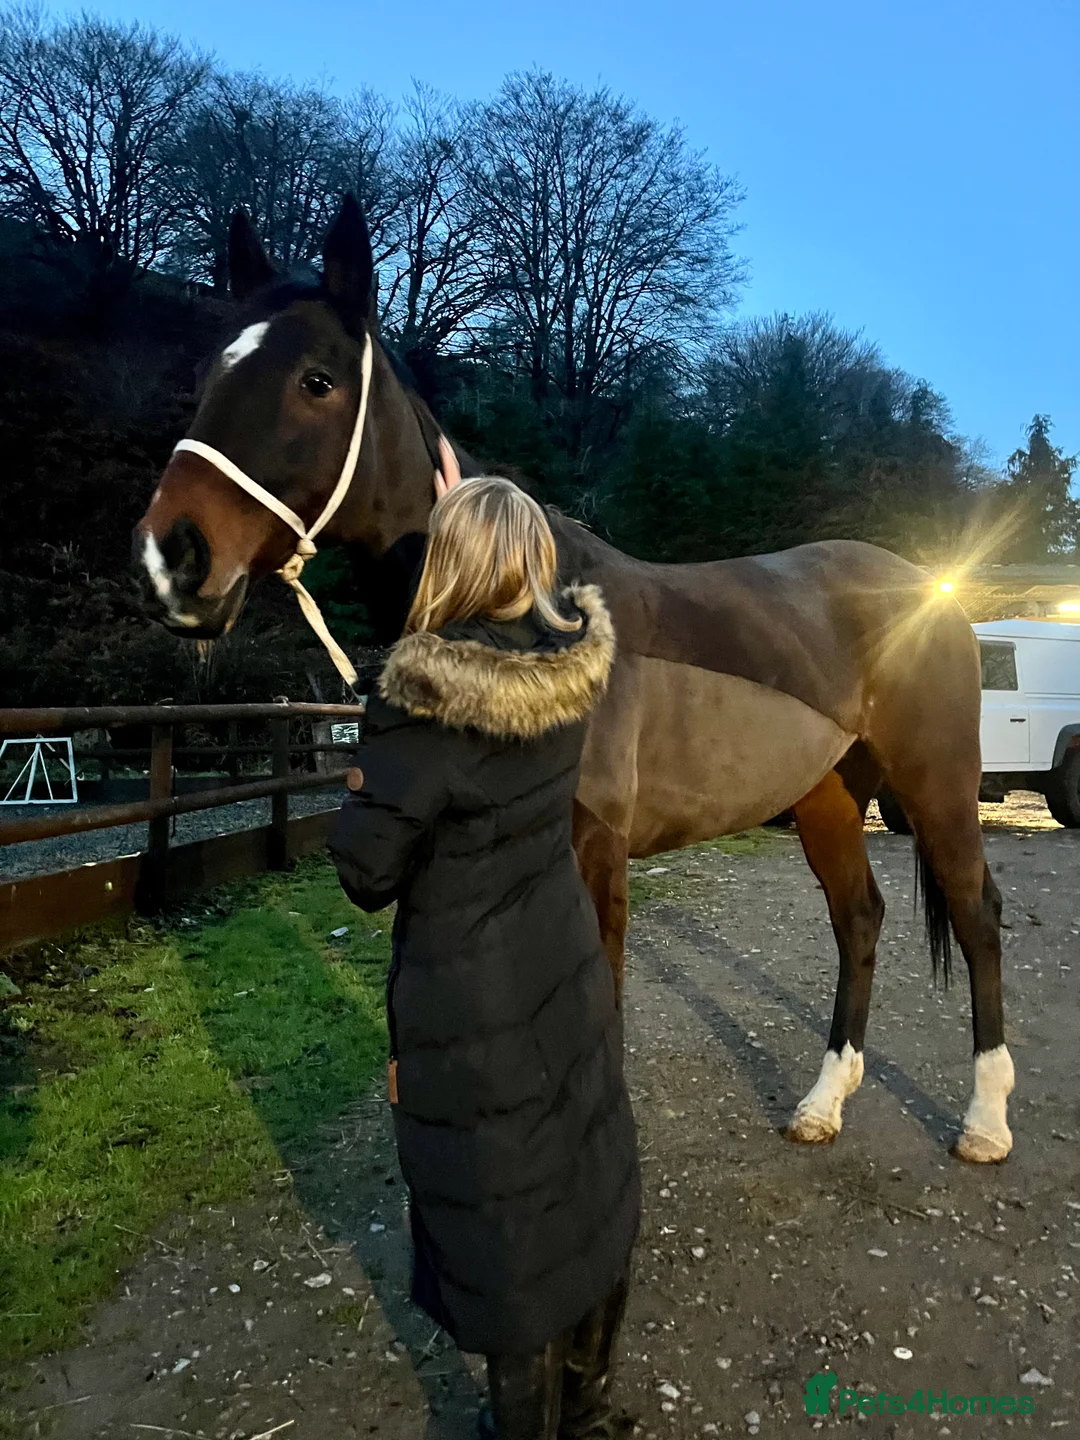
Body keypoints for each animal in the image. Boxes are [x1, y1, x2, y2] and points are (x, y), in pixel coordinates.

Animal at [133, 195, 1014, 1165]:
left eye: (317, 381)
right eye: (212, 370)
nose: (173, 557)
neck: (531, 621)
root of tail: (925, 588)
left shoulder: (596, 851)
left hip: (937, 785)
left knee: (977, 917)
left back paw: (985, 1122)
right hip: (826, 794)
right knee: (859, 919)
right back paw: (823, 1104)